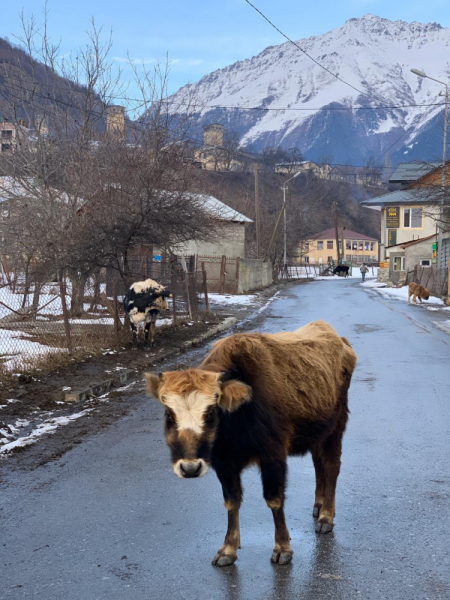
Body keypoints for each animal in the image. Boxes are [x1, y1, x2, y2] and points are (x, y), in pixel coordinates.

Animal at [146, 322, 356, 564]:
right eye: (169, 415)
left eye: (210, 413)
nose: (190, 468)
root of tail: (338, 338)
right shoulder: (223, 463)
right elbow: (231, 501)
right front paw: (228, 549)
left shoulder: (272, 455)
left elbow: (274, 499)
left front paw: (282, 547)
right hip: (316, 432)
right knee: (318, 464)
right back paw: (319, 504)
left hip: (336, 426)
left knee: (331, 466)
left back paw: (326, 516)